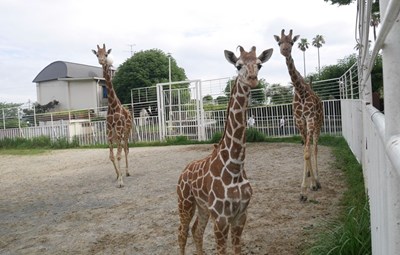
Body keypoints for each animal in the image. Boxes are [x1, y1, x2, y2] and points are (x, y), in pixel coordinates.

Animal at [92, 43, 133, 187]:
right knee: (121, 150)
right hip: (116, 135)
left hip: (126, 132)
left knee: (126, 149)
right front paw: (116, 175)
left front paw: (121, 181)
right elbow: (111, 156)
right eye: (97, 54)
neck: (113, 106)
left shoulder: (120, 131)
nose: (102, 61)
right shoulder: (109, 132)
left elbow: (119, 155)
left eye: (106, 54)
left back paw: (127, 172)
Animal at [177, 46, 274, 255]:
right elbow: (221, 249)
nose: (252, 79)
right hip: (185, 202)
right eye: (238, 65)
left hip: (203, 207)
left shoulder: (241, 215)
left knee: (196, 230)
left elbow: (237, 248)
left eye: (259, 64)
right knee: (182, 232)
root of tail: (183, 171)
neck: (235, 166)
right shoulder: (221, 219)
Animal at [274, 29, 326, 201]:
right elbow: (304, 150)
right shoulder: (299, 120)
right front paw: (307, 185)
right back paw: (311, 176)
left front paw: (309, 187)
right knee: (309, 146)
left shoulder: (309, 119)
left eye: (292, 42)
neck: (300, 90)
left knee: (315, 148)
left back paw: (318, 179)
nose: (284, 50)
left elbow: (308, 152)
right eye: (279, 42)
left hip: (318, 123)